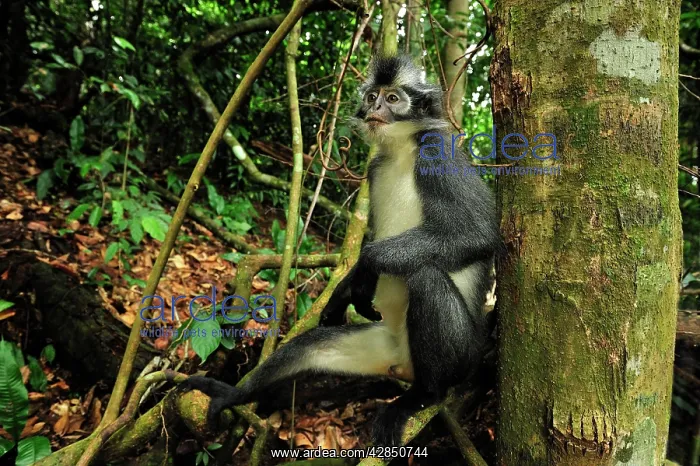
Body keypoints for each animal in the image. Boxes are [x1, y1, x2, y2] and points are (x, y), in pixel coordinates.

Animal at [178, 54, 501, 447]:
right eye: (373, 96)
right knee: (309, 345)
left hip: (463, 356)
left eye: (393, 99)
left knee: (425, 275)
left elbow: (479, 234)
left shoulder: (439, 156)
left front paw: (366, 268)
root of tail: (404, 364)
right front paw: (343, 292)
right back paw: (234, 394)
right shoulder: (376, 170)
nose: (375, 108)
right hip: (382, 344)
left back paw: (423, 395)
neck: (401, 152)